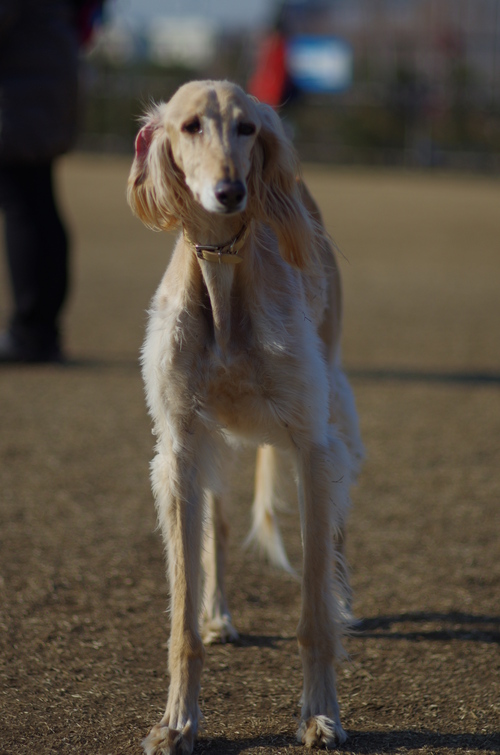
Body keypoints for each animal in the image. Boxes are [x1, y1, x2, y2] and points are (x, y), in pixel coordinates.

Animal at [128, 79, 364, 752]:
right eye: (189, 126)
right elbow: (181, 616)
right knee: (222, 527)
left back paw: (342, 596)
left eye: (247, 128)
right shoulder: (181, 447)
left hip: (333, 405)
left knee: (335, 532)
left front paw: (319, 714)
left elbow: (313, 610)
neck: (225, 279)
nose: (230, 191)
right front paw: (177, 721)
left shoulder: (311, 443)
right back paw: (219, 612)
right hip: (216, 441)